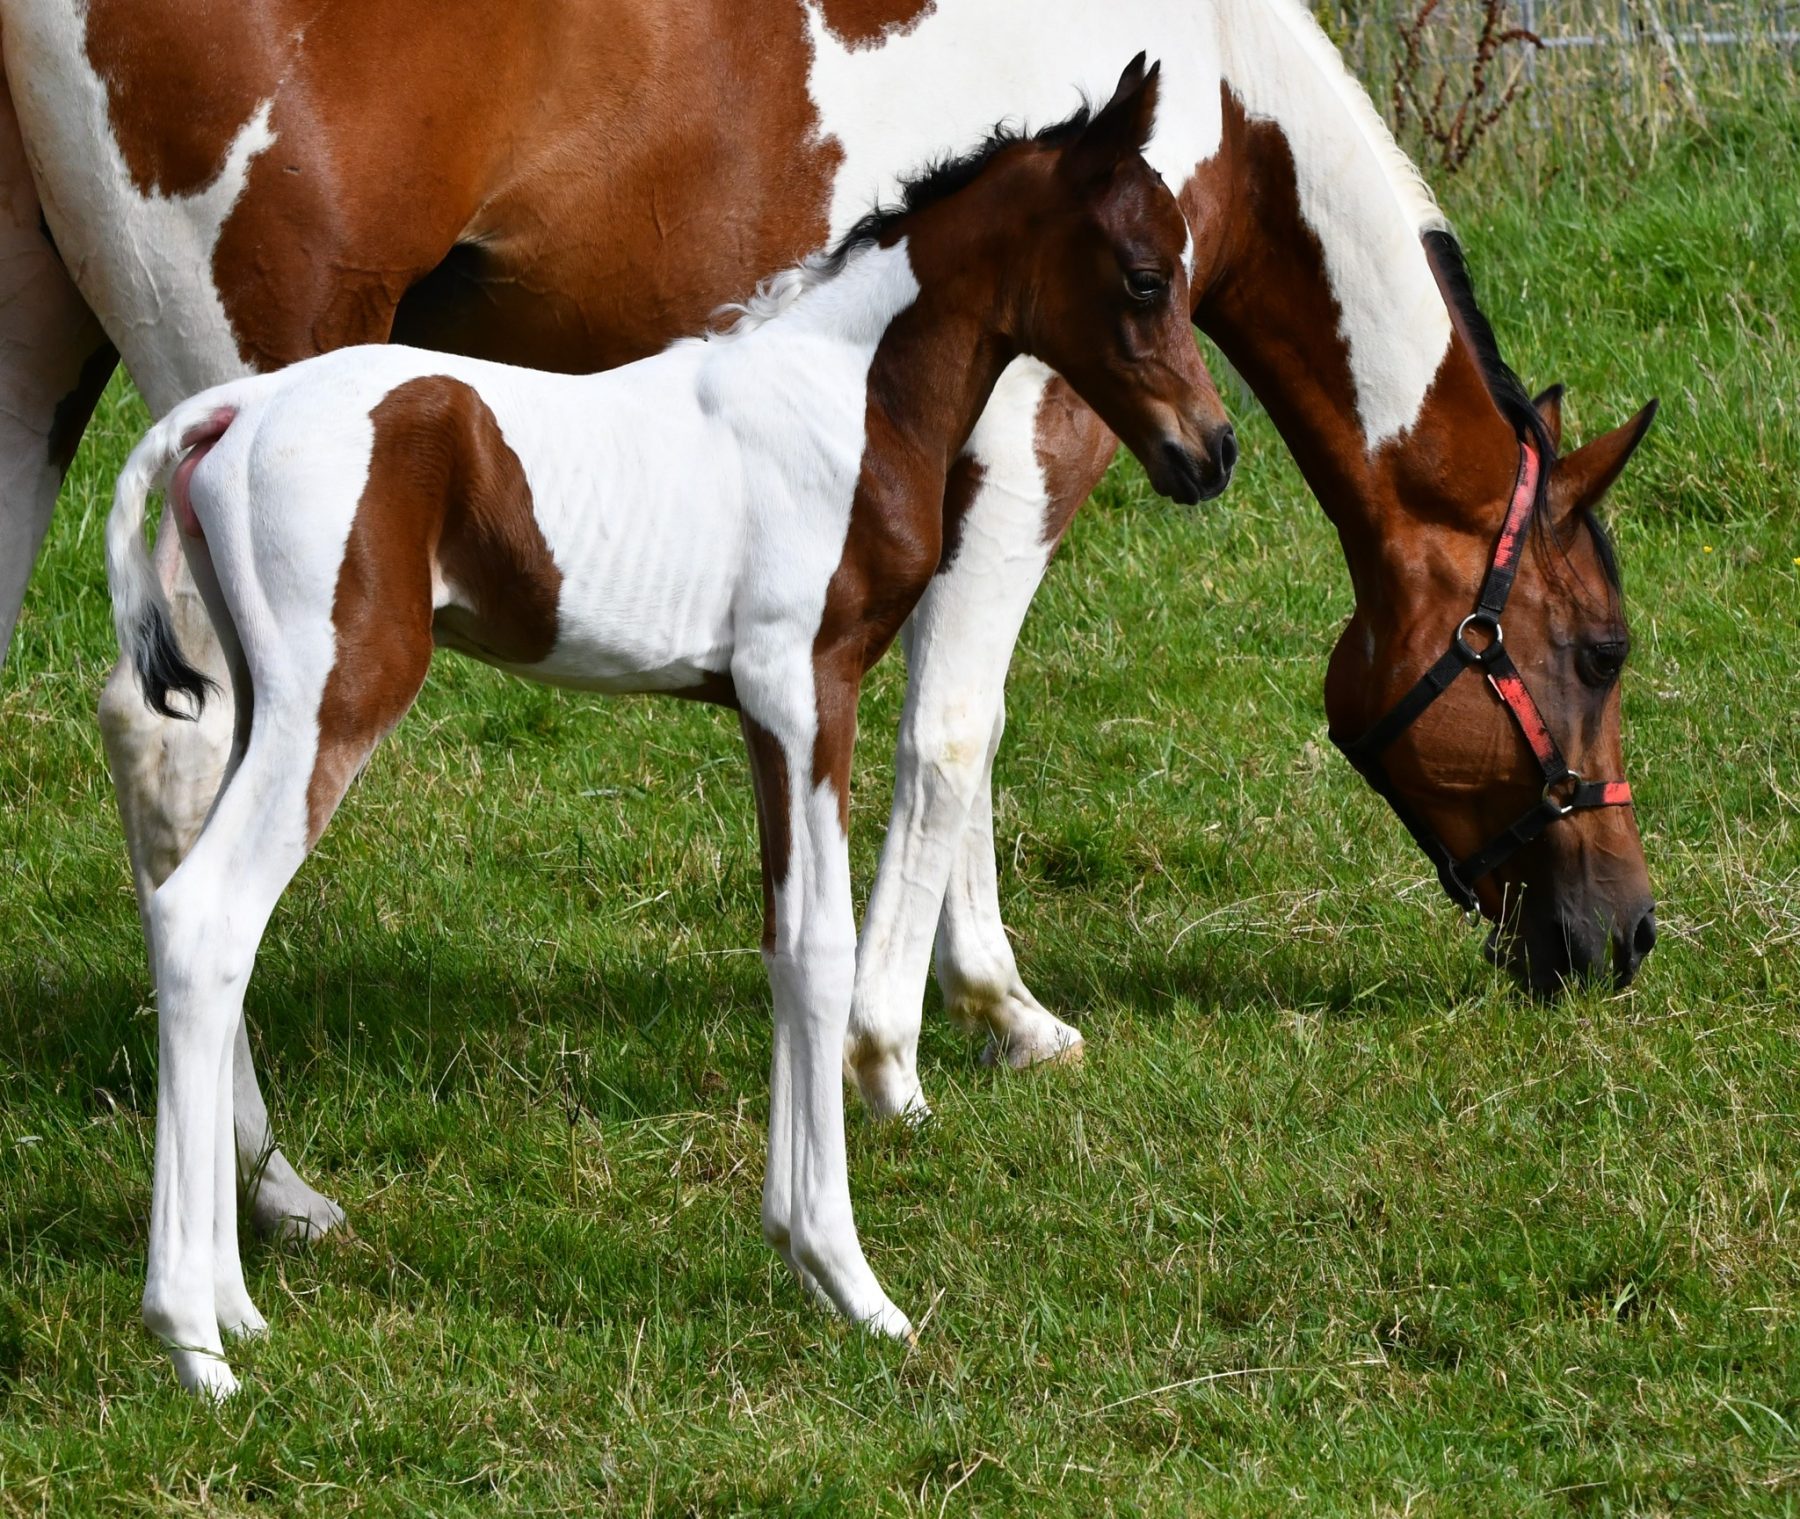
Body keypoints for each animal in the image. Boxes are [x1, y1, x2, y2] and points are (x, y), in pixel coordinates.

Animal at [0, 0, 1656, 1246]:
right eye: (1597, 652)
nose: (1622, 937)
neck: (1218, 98)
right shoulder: (1041, 440)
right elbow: (956, 731)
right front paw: (886, 1051)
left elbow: (956, 739)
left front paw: (1003, 1009)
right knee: (180, 774)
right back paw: (269, 1183)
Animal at [103, 59, 1232, 1398]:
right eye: (1145, 276)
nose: (1212, 452)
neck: (848, 400)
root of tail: (231, 410)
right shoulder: (804, 688)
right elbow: (821, 951)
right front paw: (854, 1282)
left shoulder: (763, 711)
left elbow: (784, 943)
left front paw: (802, 1249)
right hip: (337, 700)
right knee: (206, 918)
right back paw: (191, 1340)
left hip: (267, 711)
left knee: (212, 928)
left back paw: (237, 1305)